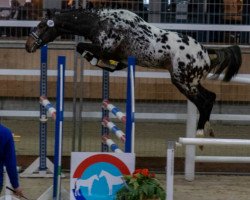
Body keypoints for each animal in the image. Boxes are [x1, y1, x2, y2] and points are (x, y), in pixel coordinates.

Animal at [25, 8, 242, 138]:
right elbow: (87, 49)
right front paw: (111, 65)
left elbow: (82, 47)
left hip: (183, 81)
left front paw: (100, 62)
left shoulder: (104, 47)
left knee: (205, 101)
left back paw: (200, 132)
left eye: (42, 25)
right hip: (190, 82)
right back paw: (207, 130)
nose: (28, 46)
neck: (100, 22)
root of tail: (205, 52)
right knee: (210, 97)